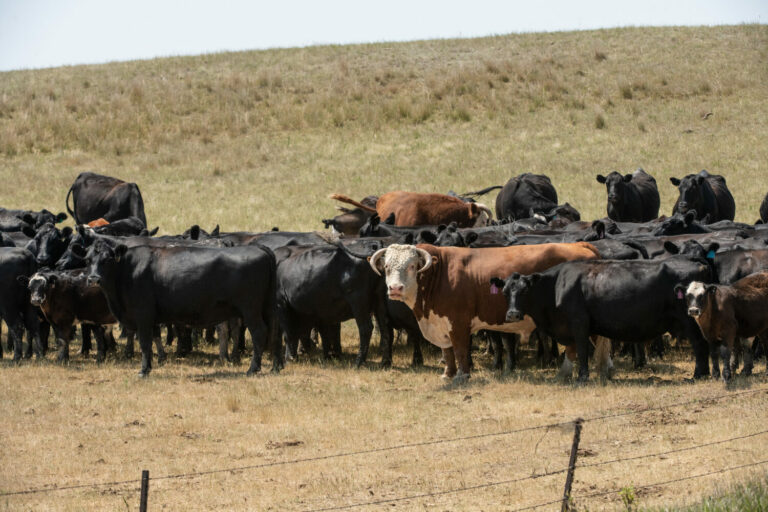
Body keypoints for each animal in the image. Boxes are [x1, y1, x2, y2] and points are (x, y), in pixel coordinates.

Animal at [86, 240, 280, 377]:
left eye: (107, 260)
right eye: (88, 260)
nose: (93, 278)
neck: (128, 269)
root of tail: (259, 248)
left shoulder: (143, 315)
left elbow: (145, 343)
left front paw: (143, 371)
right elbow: (152, 340)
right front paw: (150, 366)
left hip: (251, 309)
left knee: (259, 332)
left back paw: (253, 369)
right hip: (268, 307)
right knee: (274, 331)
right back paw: (275, 367)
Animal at [368, 242, 600, 381]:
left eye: (412, 266)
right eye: (387, 267)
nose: (395, 288)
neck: (439, 274)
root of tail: (578, 244)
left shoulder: (459, 324)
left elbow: (461, 350)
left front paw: (462, 376)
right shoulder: (441, 324)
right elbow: (448, 352)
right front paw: (448, 374)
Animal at [492, 255, 715, 382]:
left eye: (524, 291)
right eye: (505, 292)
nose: (512, 314)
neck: (556, 285)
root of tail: (699, 264)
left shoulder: (579, 323)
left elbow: (582, 350)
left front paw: (582, 377)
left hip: (689, 320)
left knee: (700, 344)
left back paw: (698, 374)